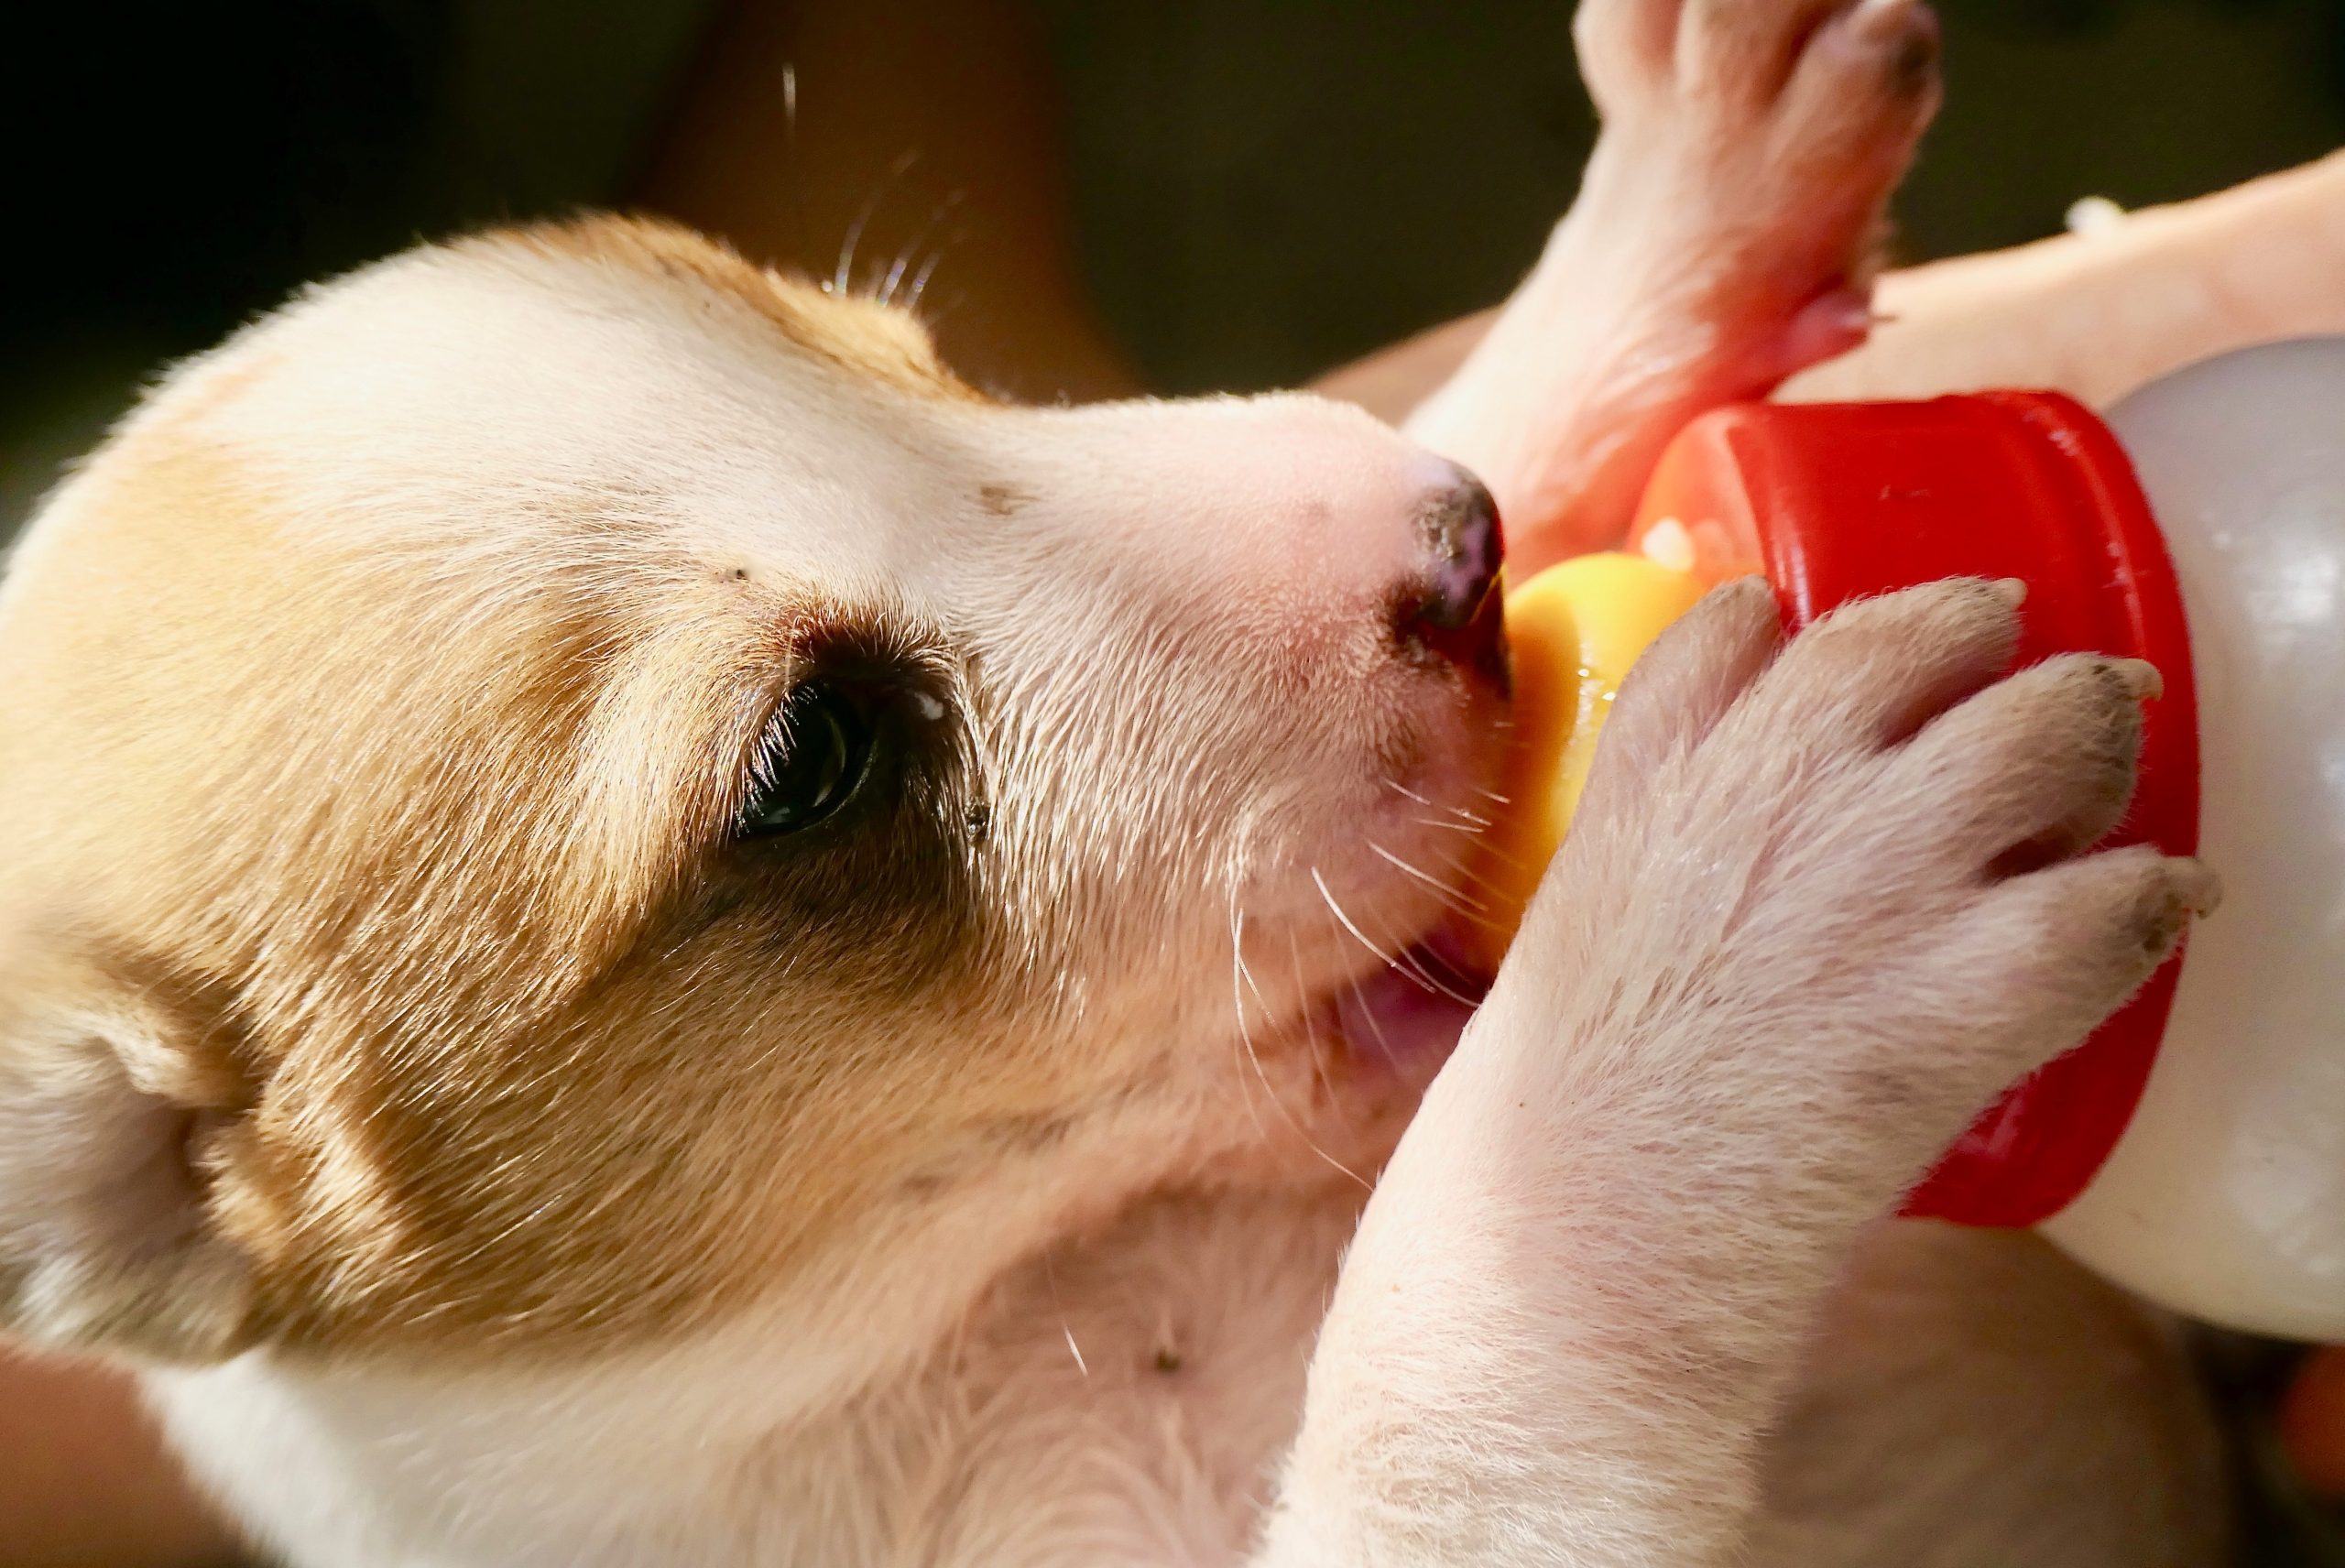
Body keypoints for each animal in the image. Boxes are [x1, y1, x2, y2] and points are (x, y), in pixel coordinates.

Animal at [0, 3, 2222, 1565]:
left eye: (917, 357)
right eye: (809, 761)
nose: (1460, 550)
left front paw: (1663, 227)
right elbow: (1453, 1356)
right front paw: (1717, 964)